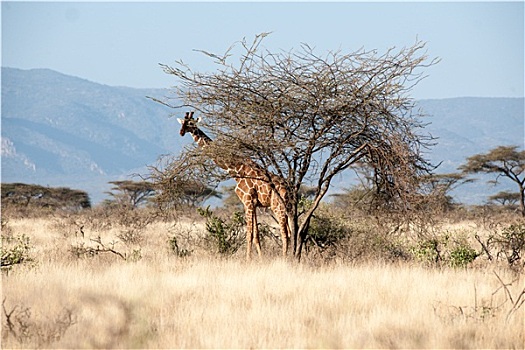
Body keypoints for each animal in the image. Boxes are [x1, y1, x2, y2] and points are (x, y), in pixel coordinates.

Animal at [178, 112, 288, 260]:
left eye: (191, 123)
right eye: (182, 123)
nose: (181, 132)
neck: (236, 171)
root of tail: (288, 188)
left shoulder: (248, 201)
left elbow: (249, 234)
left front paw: (248, 260)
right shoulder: (252, 204)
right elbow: (256, 235)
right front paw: (260, 259)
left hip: (277, 207)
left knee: (285, 233)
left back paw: (286, 258)